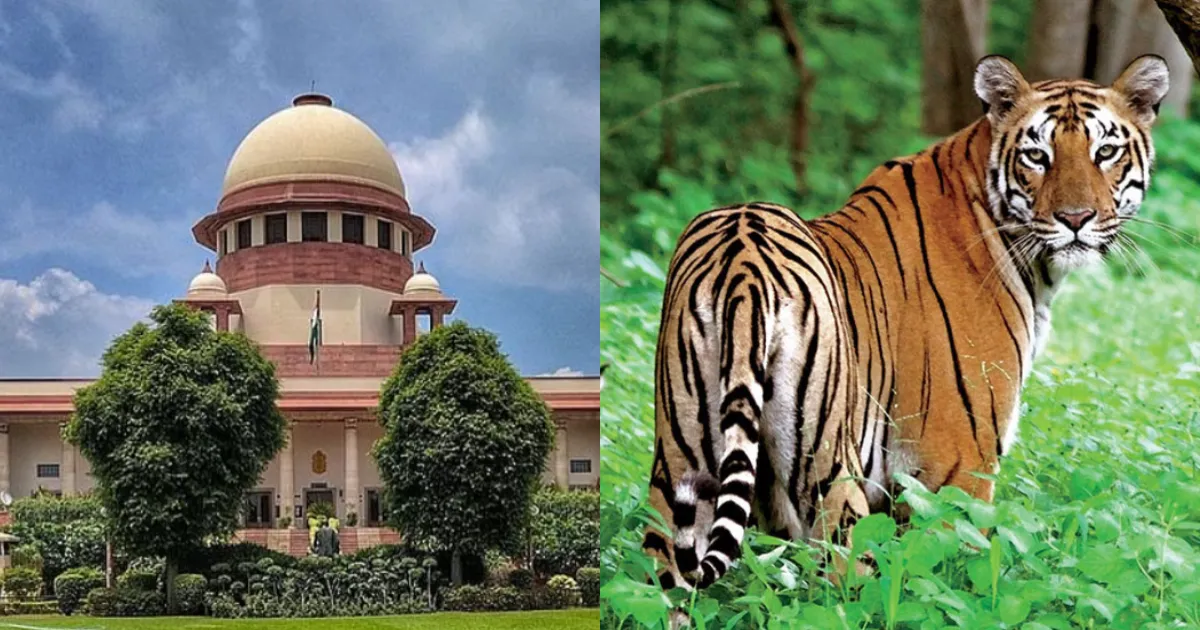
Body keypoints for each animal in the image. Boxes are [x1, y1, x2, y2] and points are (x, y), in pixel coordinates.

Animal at [641, 53, 1170, 605]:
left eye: (1105, 152)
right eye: (1036, 156)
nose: (1075, 218)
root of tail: (742, 260)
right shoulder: (956, 464)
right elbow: (957, 568)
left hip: (680, 464)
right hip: (828, 470)